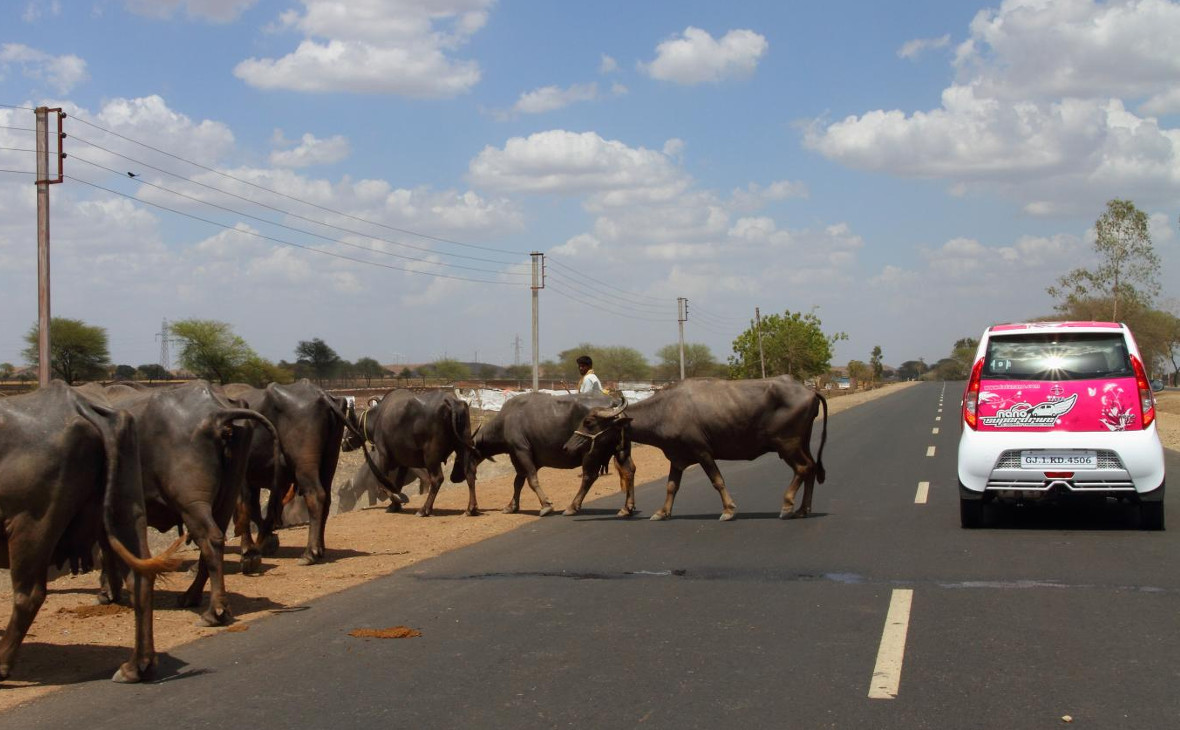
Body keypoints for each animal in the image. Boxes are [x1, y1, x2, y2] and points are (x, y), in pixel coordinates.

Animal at [0, 382, 179, 684]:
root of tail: (79, 404)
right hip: (125, 509)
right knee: (141, 577)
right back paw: (136, 666)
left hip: (31, 525)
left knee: (29, 594)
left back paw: (2, 663)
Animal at [564, 377, 825, 518]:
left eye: (589, 422)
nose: (567, 446)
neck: (666, 411)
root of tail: (810, 390)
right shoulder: (677, 458)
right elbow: (671, 486)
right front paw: (662, 512)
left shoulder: (703, 452)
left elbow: (717, 480)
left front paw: (728, 509)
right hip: (801, 443)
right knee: (811, 467)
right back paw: (804, 509)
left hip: (787, 445)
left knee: (802, 468)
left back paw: (788, 505)